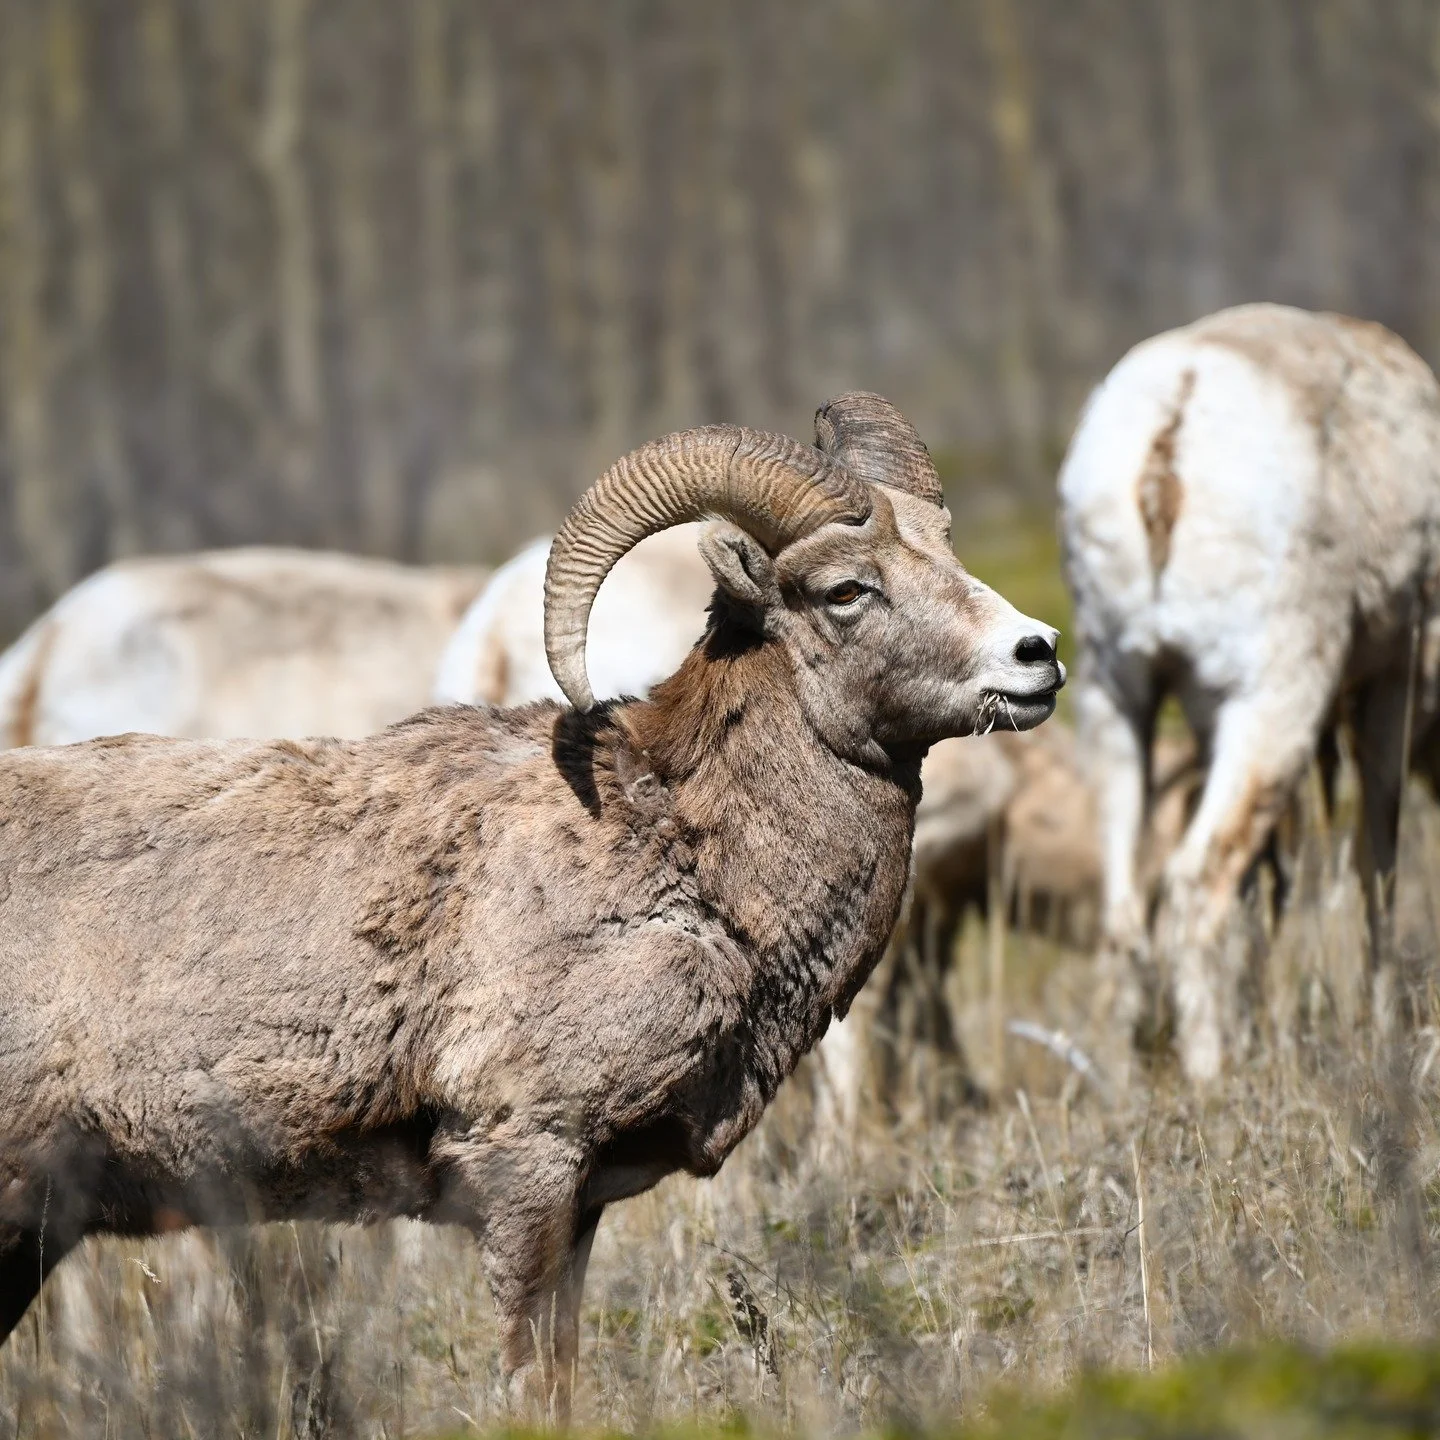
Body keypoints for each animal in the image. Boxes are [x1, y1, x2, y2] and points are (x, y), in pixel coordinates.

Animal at [1059, 303, 1440, 1082]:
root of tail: (1169, 435)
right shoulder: (1389, 685)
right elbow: (1378, 866)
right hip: (1273, 697)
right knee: (1197, 883)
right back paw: (1213, 1076)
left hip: (1115, 696)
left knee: (1126, 909)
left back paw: (1122, 1083)